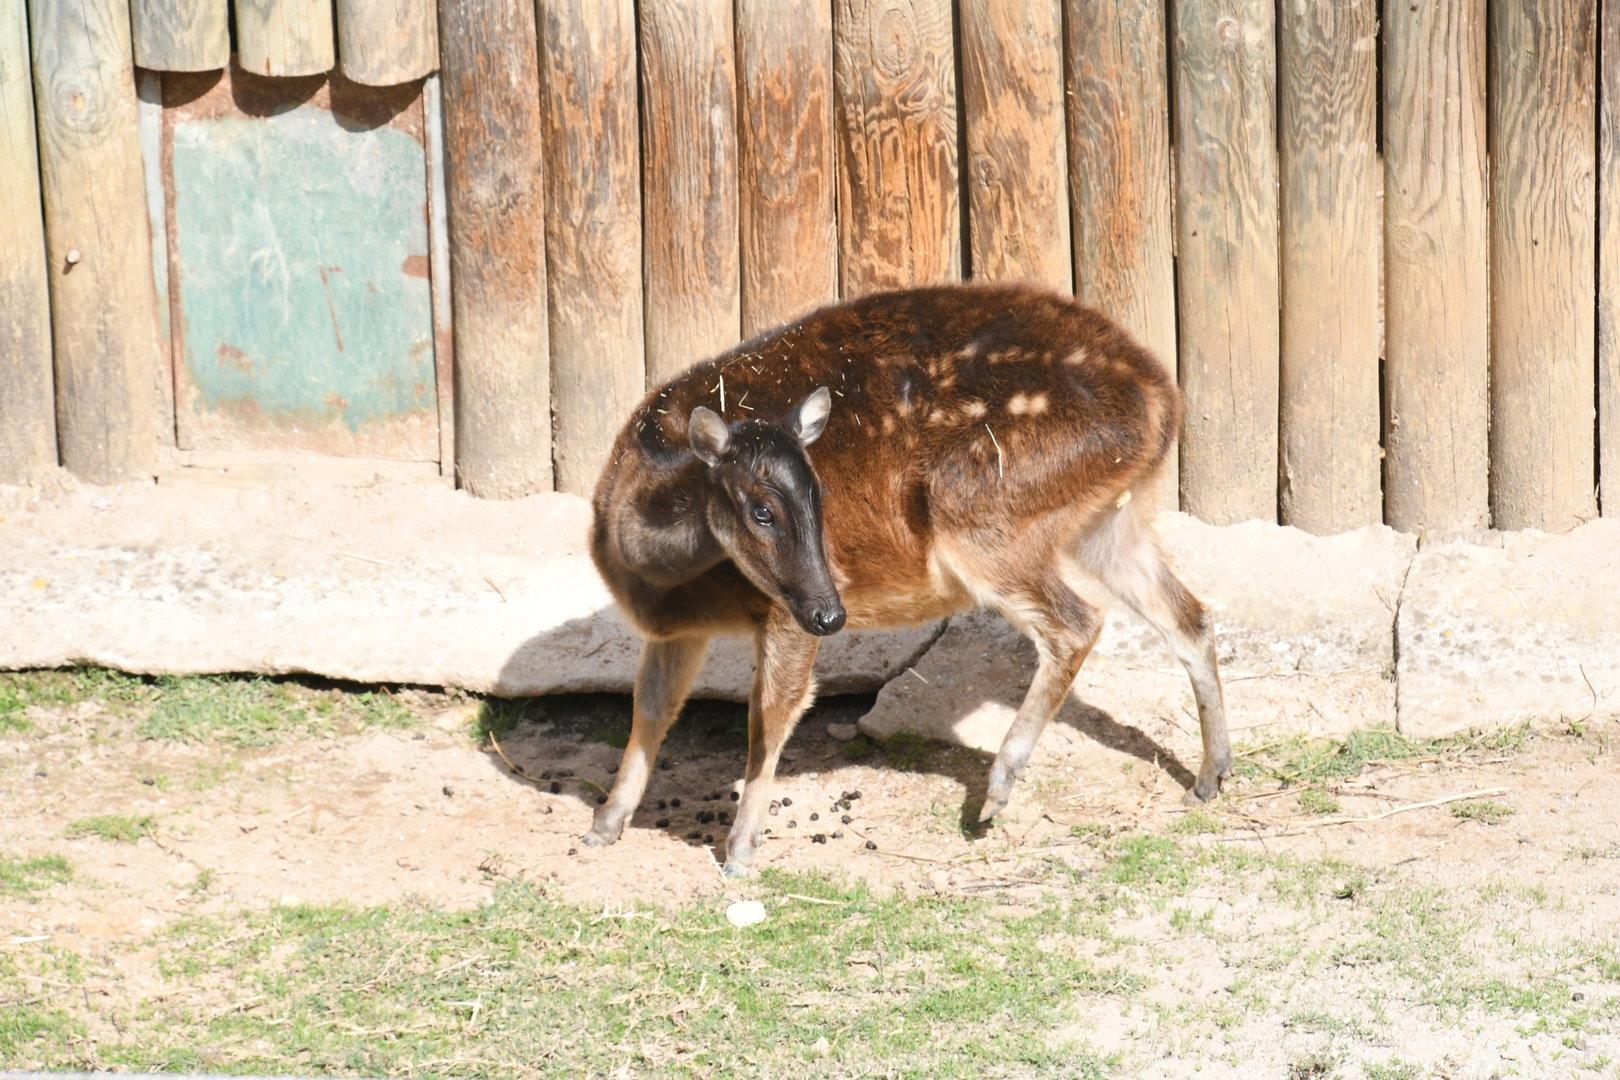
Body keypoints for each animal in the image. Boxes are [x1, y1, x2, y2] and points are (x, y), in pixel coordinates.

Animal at [584, 281, 1230, 877]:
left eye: (822, 496)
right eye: (761, 510)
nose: (832, 612)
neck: (659, 577)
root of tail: (1163, 398)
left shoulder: (780, 613)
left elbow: (770, 713)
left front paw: (740, 851)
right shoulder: (678, 629)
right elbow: (652, 706)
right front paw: (604, 824)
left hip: (982, 514)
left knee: (1079, 622)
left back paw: (996, 791)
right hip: (1107, 517)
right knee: (1189, 615)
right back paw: (1209, 777)